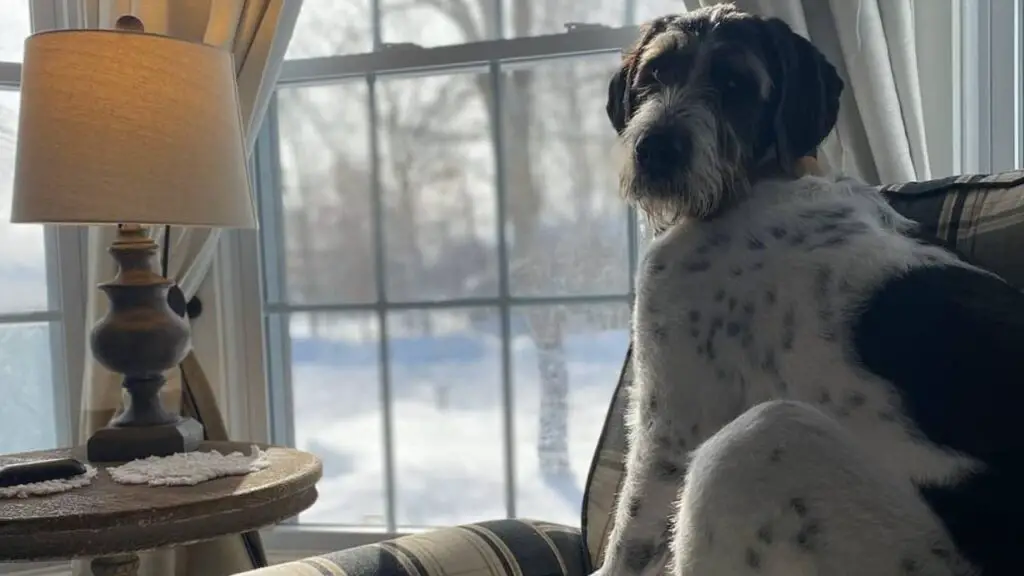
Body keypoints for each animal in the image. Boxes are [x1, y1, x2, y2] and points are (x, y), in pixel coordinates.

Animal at [598, 4, 1024, 573]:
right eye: (655, 74)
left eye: (735, 84)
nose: (656, 150)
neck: (760, 180)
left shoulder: (667, 425)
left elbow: (626, 539)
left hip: (758, 446)